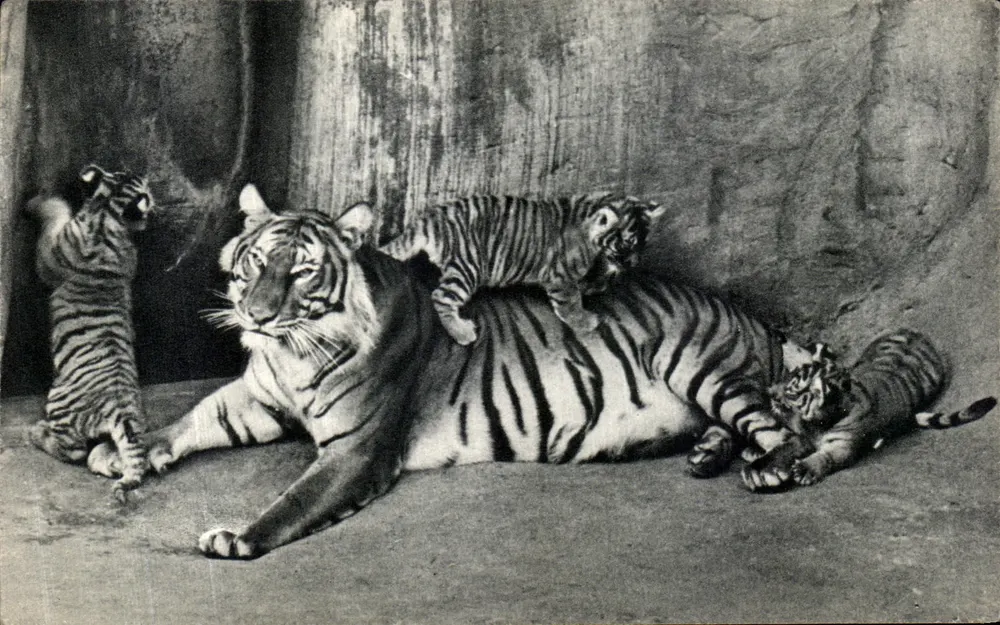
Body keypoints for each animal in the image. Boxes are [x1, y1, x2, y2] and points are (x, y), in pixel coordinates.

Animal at [25, 163, 154, 502]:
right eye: (123, 171)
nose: (147, 181)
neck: (108, 214)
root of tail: (122, 409)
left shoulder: (50, 251)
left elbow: (54, 213)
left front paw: (36, 202)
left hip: (58, 401)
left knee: (73, 451)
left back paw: (36, 432)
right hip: (124, 433)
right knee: (117, 455)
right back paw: (113, 467)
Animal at [378, 193, 665, 345]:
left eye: (643, 244)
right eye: (626, 245)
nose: (633, 264)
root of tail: (430, 218)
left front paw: (598, 283)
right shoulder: (561, 277)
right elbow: (570, 303)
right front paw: (585, 322)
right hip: (469, 267)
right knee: (440, 296)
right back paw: (462, 332)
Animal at [756, 329, 997, 486]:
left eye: (791, 391)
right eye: (787, 375)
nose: (768, 391)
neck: (818, 423)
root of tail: (915, 333)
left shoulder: (842, 446)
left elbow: (825, 457)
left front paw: (805, 469)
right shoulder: (802, 436)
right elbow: (784, 447)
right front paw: (762, 464)